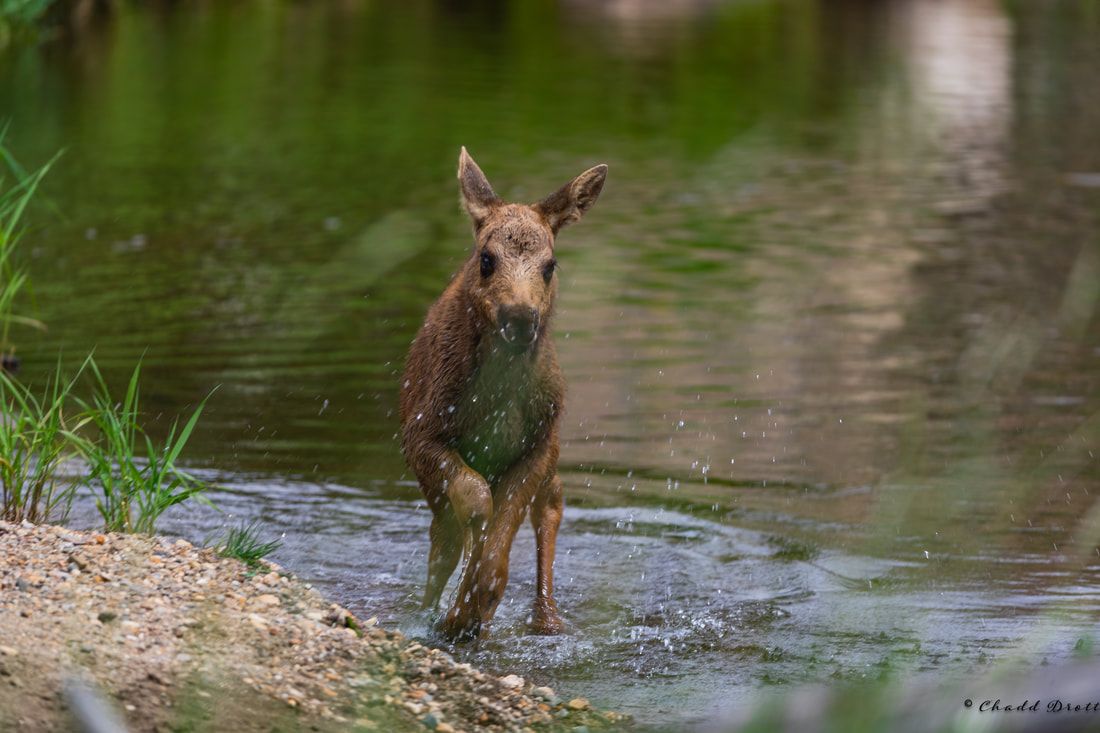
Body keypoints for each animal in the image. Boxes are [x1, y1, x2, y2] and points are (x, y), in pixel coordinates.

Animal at [402, 148, 611, 638]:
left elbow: (504, 526)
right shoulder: (422, 435)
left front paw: (474, 604)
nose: (519, 317)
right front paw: (459, 611)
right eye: (485, 258)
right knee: (444, 538)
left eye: (550, 265)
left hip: (551, 446)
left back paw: (545, 617)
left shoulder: (538, 444)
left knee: (550, 505)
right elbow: (476, 502)